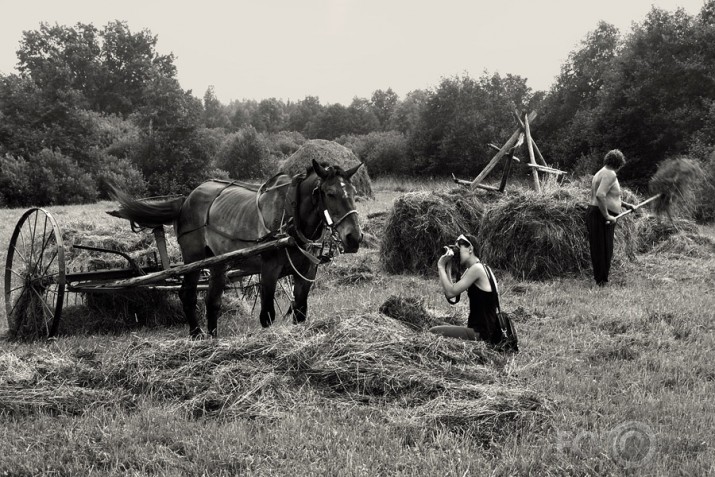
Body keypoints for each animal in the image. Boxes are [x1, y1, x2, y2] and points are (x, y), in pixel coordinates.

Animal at [107, 158, 364, 336]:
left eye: (354, 193)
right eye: (329, 193)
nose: (354, 237)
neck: (291, 216)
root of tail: (186, 199)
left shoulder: (307, 273)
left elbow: (300, 313)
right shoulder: (269, 271)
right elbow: (267, 315)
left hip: (218, 262)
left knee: (212, 301)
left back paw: (213, 339)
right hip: (193, 257)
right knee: (187, 294)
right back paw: (196, 335)